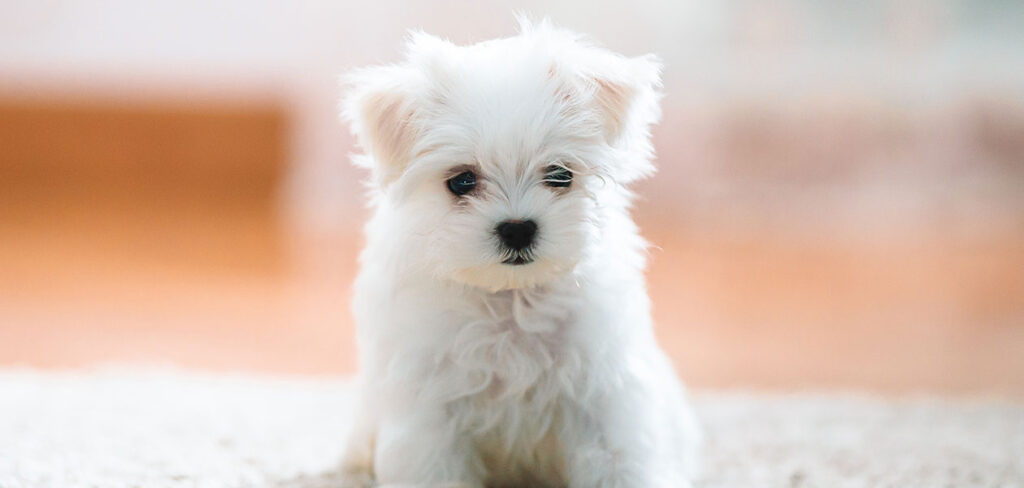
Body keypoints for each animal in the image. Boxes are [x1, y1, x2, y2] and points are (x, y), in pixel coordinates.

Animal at [339, 17, 700, 484]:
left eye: (560, 174)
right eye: (461, 181)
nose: (517, 229)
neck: (511, 300)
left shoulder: (602, 394)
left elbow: (619, 461)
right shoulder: (430, 408)